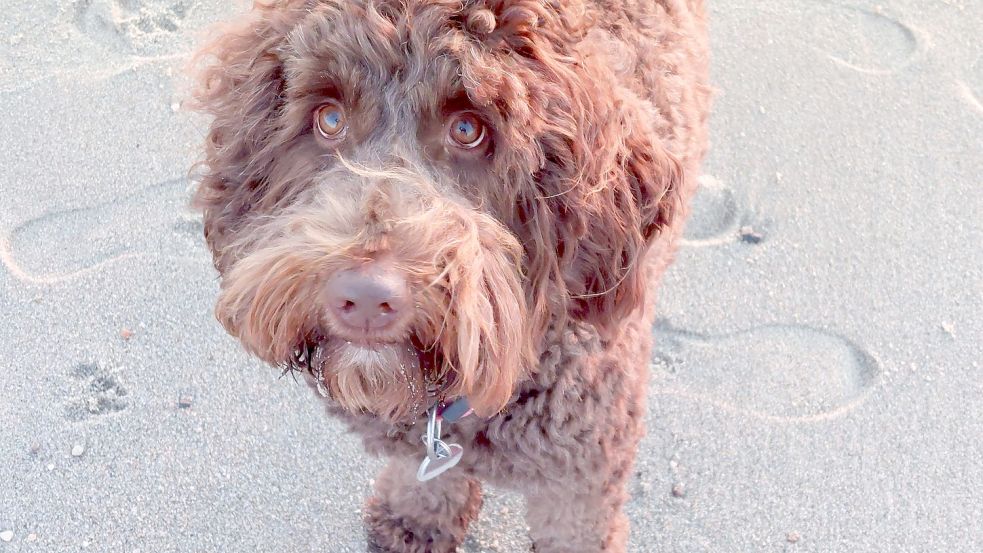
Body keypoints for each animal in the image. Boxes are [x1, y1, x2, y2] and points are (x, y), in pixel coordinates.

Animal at [188, 1, 708, 548]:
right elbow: (429, 476)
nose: (366, 299)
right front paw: (414, 518)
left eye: (468, 130)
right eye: (329, 119)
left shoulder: (585, 469)